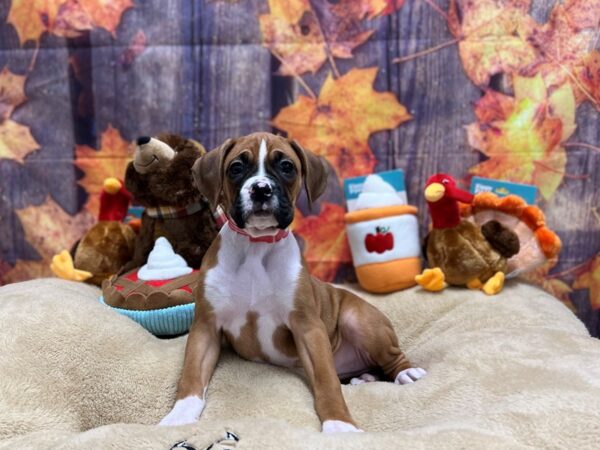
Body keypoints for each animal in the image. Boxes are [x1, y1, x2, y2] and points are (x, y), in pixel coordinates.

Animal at [157, 133, 424, 432]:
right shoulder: (206, 327)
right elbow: (191, 376)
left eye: (287, 167)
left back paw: (407, 372)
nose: (261, 189)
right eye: (236, 168)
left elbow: (327, 381)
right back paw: (364, 377)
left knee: (391, 357)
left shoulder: (308, 328)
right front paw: (179, 416)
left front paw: (339, 424)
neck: (256, 246)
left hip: (358, 319)